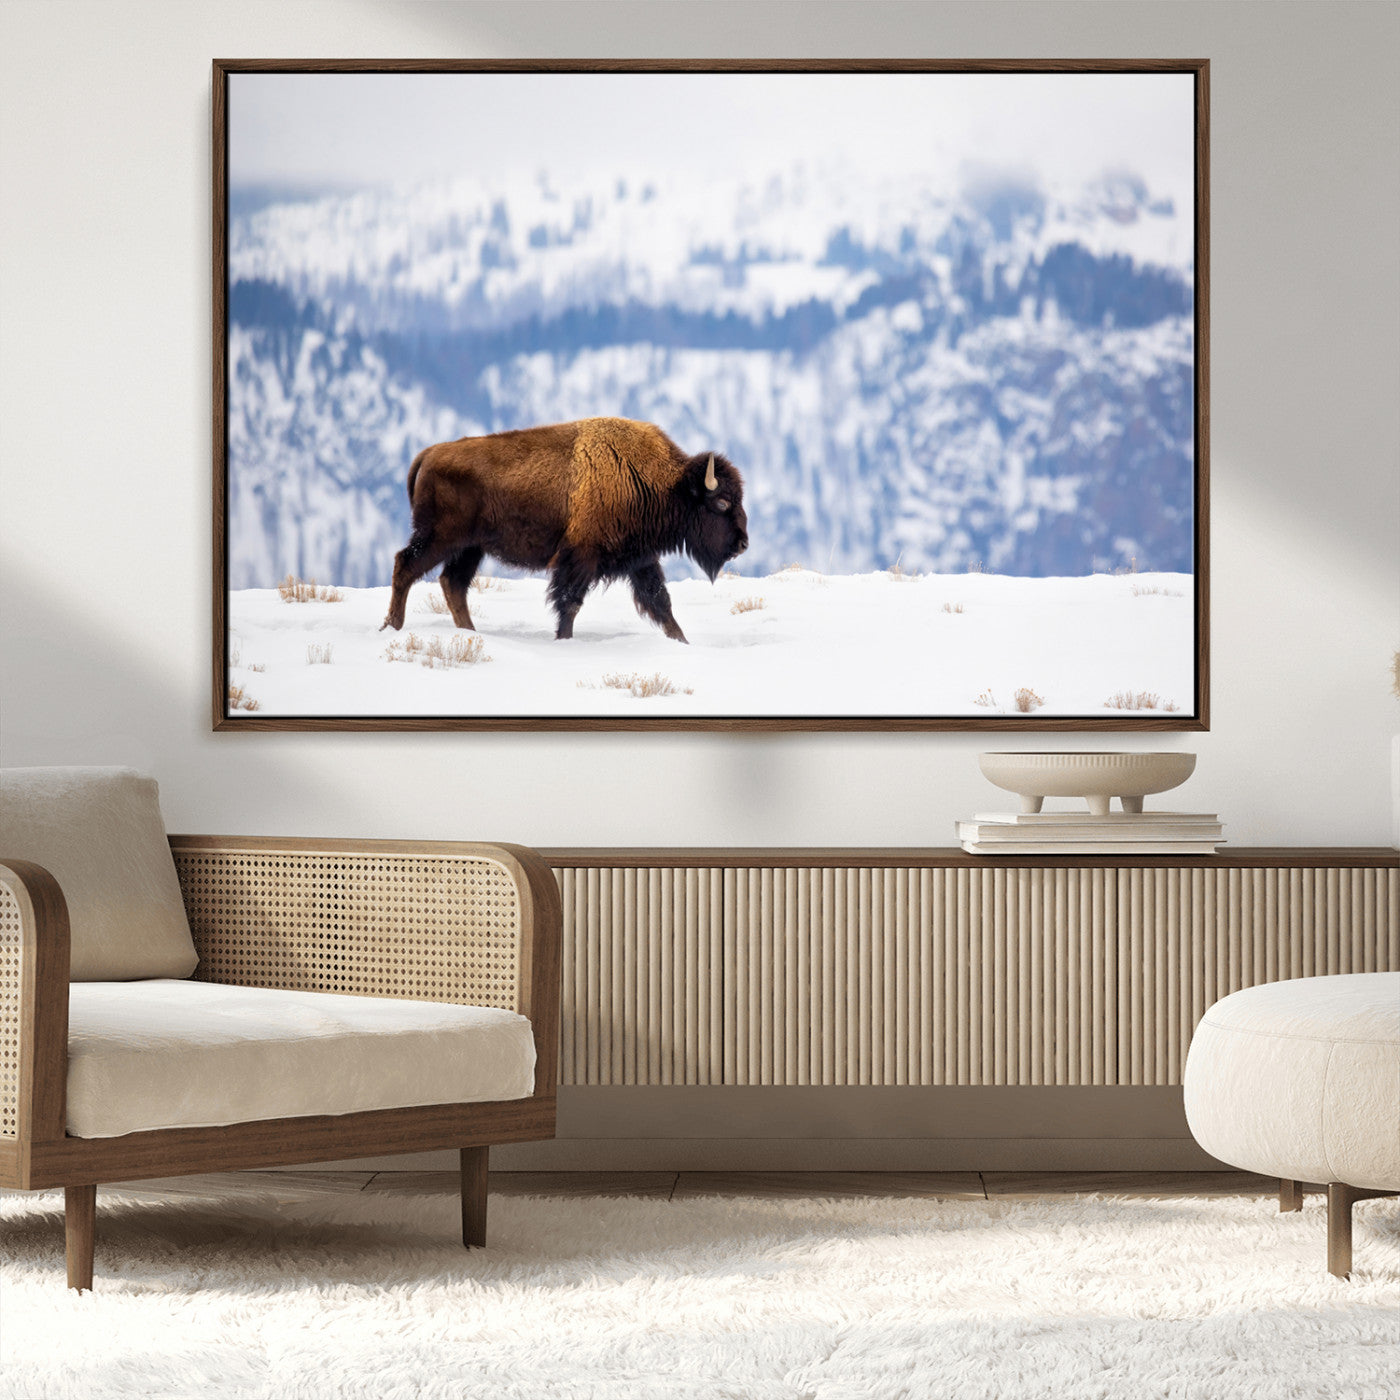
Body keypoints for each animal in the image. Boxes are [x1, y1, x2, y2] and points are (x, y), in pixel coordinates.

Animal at [381, 416, 748, 643]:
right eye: (722, 503)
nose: (743, 544)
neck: (660, 482)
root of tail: (429, 453)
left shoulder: (641, 560)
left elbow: (661, 603)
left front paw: (683, 642)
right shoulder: (579, 558)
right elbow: (569, 602)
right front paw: (564, 640)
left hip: (470, 547)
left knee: (452, 583)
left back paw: (470, 634)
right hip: (440, 538)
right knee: (406, 565)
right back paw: (392, 627)